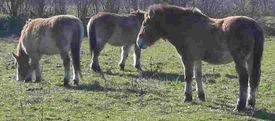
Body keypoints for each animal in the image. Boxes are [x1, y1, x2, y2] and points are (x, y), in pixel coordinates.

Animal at [137, 4, 266, 111]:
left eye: (145, 24)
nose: (139, 42)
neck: (185, 26)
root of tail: (254, 27)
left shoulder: (186, 57)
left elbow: (188, 76)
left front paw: (187, 97)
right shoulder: (197, 58)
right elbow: (198, 75)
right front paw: (201, 96)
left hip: (240, 60)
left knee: (244, 79)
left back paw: (240, 106)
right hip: (251, 60)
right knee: (253, 79)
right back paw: (250, 103)